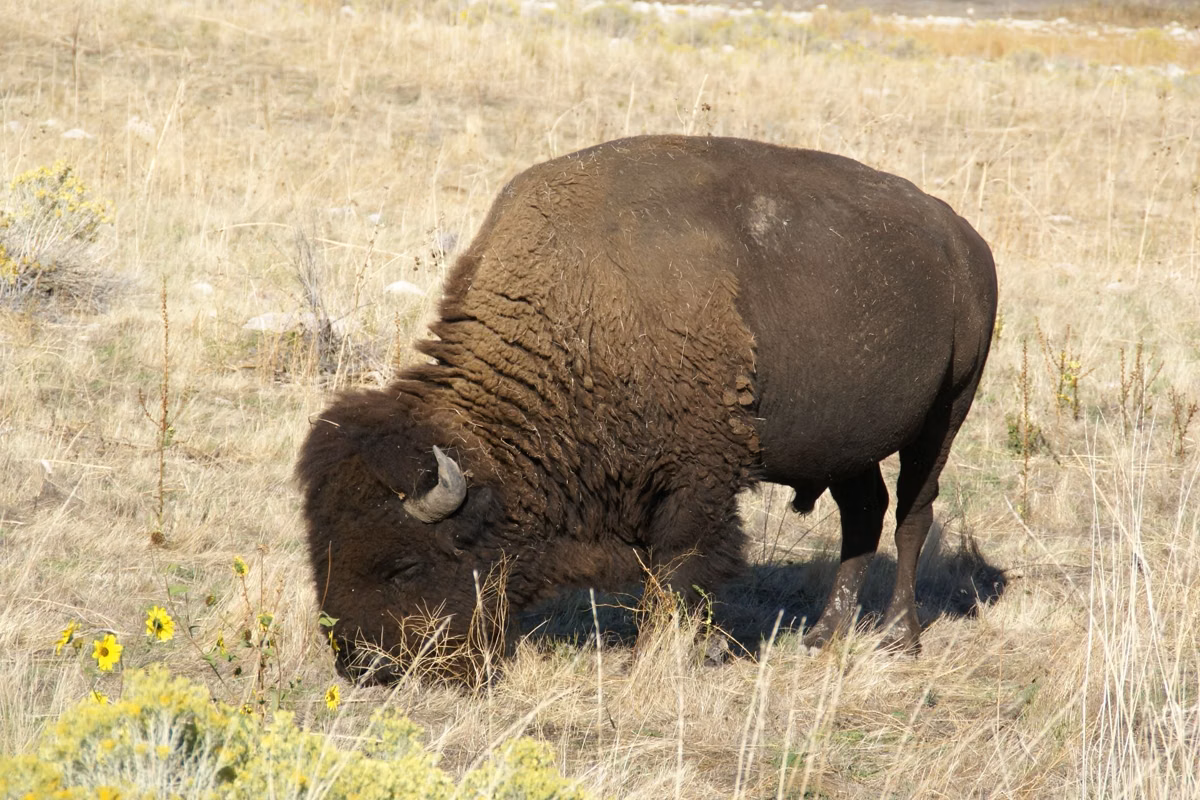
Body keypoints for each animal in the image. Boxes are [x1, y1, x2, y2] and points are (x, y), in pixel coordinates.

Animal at [297, 135, 997, 682]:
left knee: (911, 514)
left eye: (403, 564)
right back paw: (823, 635)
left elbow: (678, 566)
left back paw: (901, 638)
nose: (361, 662)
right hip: (845, 443)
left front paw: (651, 657)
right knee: (863, 514)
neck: (579, 312)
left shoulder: (697, 482)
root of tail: (966, 241)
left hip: (946, 414)